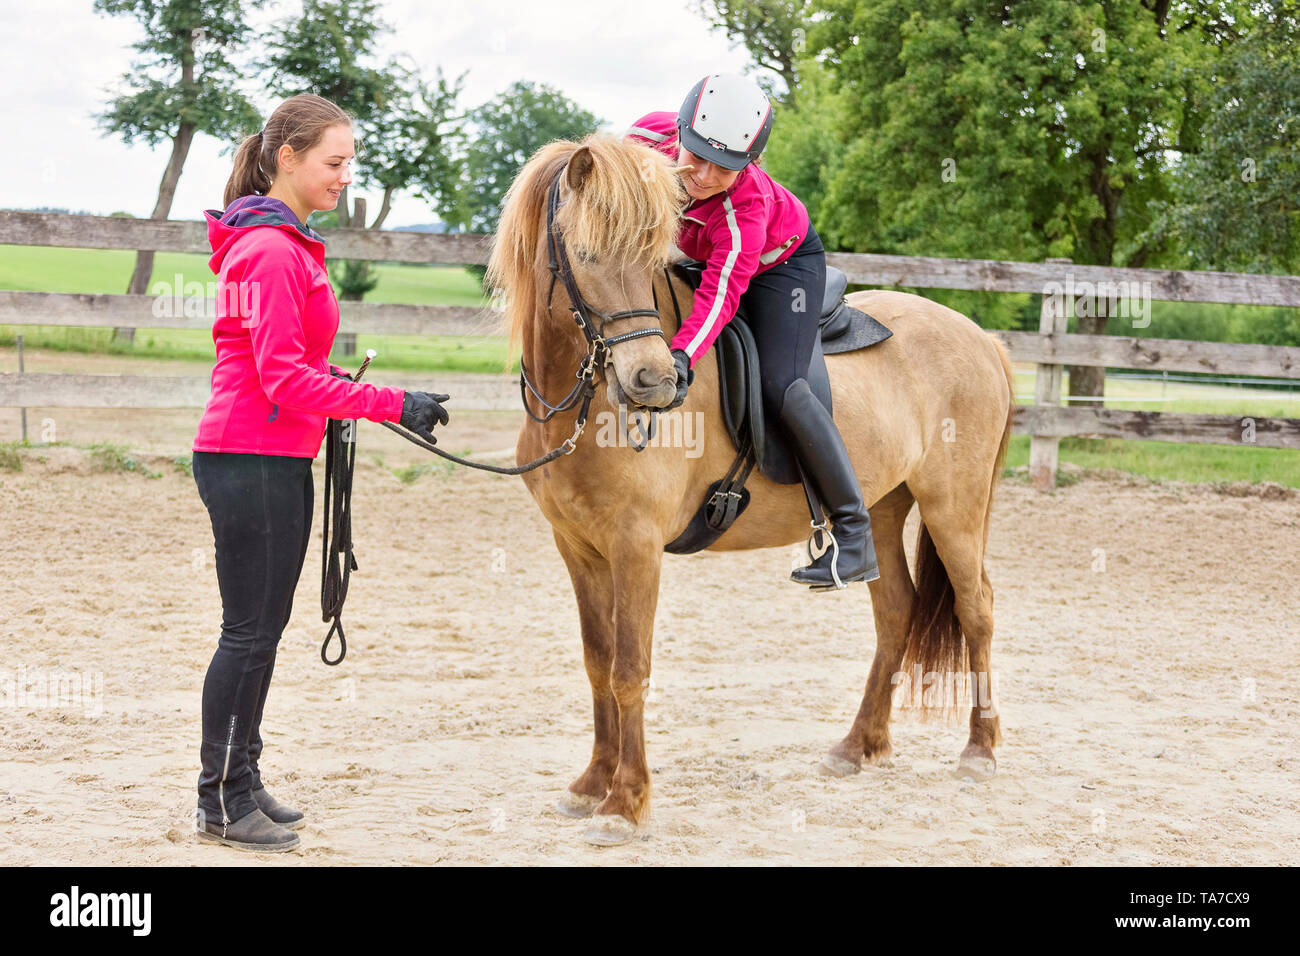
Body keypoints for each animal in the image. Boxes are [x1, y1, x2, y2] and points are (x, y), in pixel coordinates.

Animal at [486, 132, 1013, 842]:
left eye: (651, 256)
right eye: (588, 254)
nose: (655, 381)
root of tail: (981, 337)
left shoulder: (635, 548)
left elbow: (629, 670)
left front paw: (625, 802)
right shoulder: (579, 549)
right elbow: (598, 664)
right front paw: (591, 784)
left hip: (953, 507)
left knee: (976, 609)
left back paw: (979, 750)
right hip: (881, 509)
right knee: (896, 611)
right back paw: (859, 745)